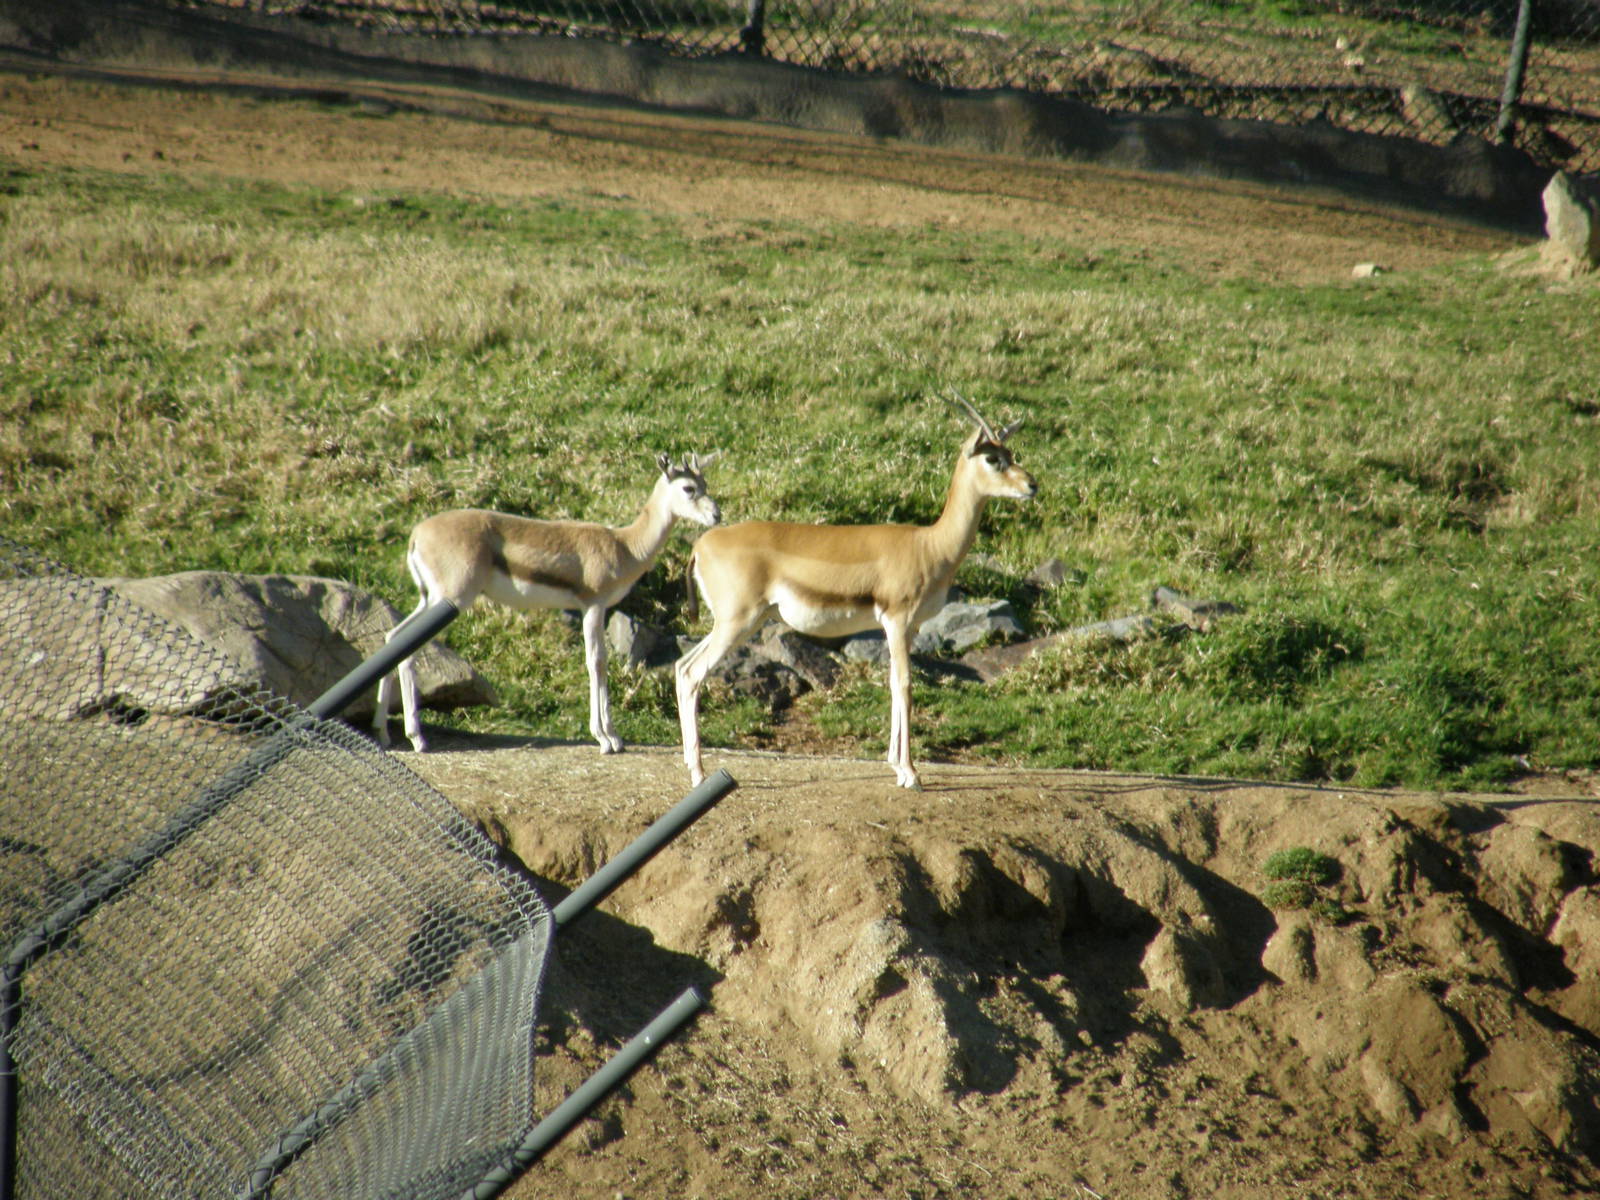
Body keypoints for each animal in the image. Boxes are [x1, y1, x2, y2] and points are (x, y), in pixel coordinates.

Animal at [375, 453, 720, 754]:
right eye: (688, 488)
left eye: (704, 483)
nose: (717, 515)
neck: (624, 545)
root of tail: (417, 534)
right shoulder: (593, 607)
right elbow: (596, 662)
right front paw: (607, 739)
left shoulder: (598, 610)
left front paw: (611, 737)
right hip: (450, 600)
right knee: (408, 648)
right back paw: (417, 738)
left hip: (429, 600)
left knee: (392, 637)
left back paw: (384, 733)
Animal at [675, 397, 1036, 790]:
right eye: (992, 459)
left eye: (1011, 453)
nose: (1031, 485)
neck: (929, 545)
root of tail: (702, 545)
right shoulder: (896, 620)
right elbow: (905, 685)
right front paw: (911, 774)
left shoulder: (910, 628)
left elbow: (893, 683)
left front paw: (896, 766)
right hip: (737, 622)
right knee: (693, 674)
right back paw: (699, 774)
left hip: (734, 623)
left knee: (680, 667)